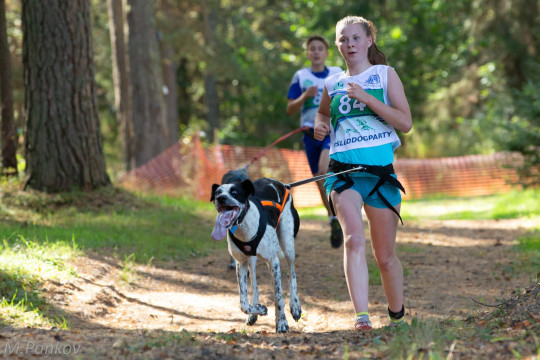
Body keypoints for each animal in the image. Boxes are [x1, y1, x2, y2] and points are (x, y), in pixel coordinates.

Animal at [211, 177, 302, 332]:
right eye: (217, 192)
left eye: (234, 192)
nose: (220, 198)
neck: (244, 225)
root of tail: (280, 184)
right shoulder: (241, 263)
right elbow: (243, 303)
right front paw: (259, 309)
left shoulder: (273, 262)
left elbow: (278, 297)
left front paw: (282, 322)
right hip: (251, 259)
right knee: (254, 284)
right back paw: (254, 312)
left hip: (288, 244)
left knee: (292, 273)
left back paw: (295, 305)